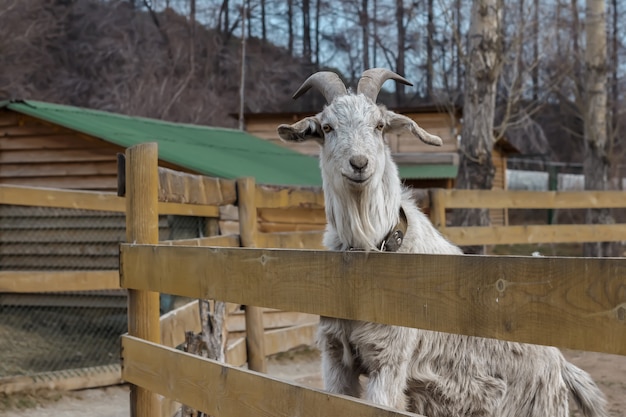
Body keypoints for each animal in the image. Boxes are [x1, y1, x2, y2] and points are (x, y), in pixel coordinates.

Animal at [276, 68, 608, 416]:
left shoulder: (390, 362)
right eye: (327, 128)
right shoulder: (335, 357)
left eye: (379, 125)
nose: (359, 163)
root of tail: (561, 366)